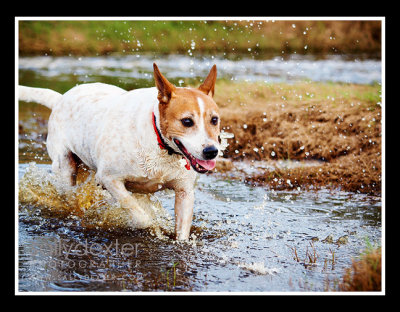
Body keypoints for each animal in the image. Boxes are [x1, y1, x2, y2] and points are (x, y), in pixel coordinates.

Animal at [18, 62, 220, 239]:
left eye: (215, 120)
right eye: (187, 121)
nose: (212, 151)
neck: (159, 144)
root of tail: (60, 99)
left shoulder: (184, 192)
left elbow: (182, 231)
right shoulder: (110, 178)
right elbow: (138, 214)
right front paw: (149, 227)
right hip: (65, 169)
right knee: (69, 194)